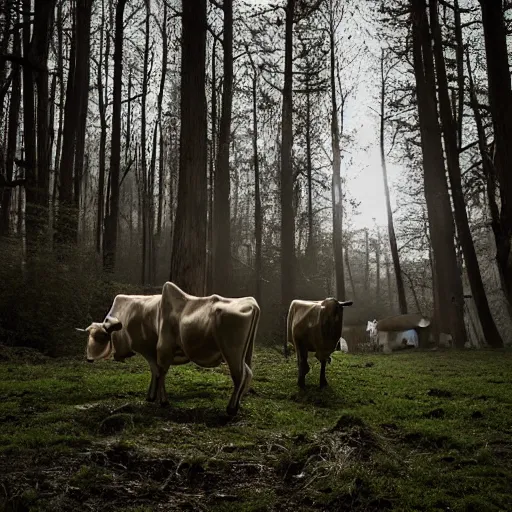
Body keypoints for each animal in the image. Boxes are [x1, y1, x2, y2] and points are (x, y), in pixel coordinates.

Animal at [78, 282, 262, 414]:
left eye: (101, 337)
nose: (88, 358)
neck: (145, 314)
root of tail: (251, 303)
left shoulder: (163, 349)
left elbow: (162, 372)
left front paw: (164, 401)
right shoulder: (151, 352)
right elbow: (155, 372)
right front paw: (151, 397)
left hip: (232, 352)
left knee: (239, 376)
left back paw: (231, 409)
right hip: (244, 354)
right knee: (248, 373)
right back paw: (237, 404)